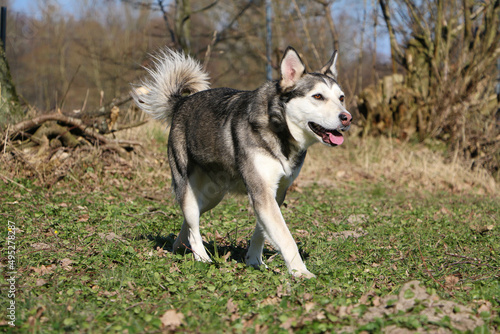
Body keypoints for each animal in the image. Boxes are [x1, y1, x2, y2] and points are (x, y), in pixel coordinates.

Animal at [133, 45, 352, 278]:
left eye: (341, 97)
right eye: (318, 96)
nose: (347, 117)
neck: (279, 129)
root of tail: (181, 102)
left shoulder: (276, 193)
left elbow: (261, 232)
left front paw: (254, 261)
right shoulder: (262, 192)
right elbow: (285, 237)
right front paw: (300, 272)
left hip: (211, 196)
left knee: (190, 220)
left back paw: (179, 247)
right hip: (187, 184)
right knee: (192, 222)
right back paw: (202, 258)